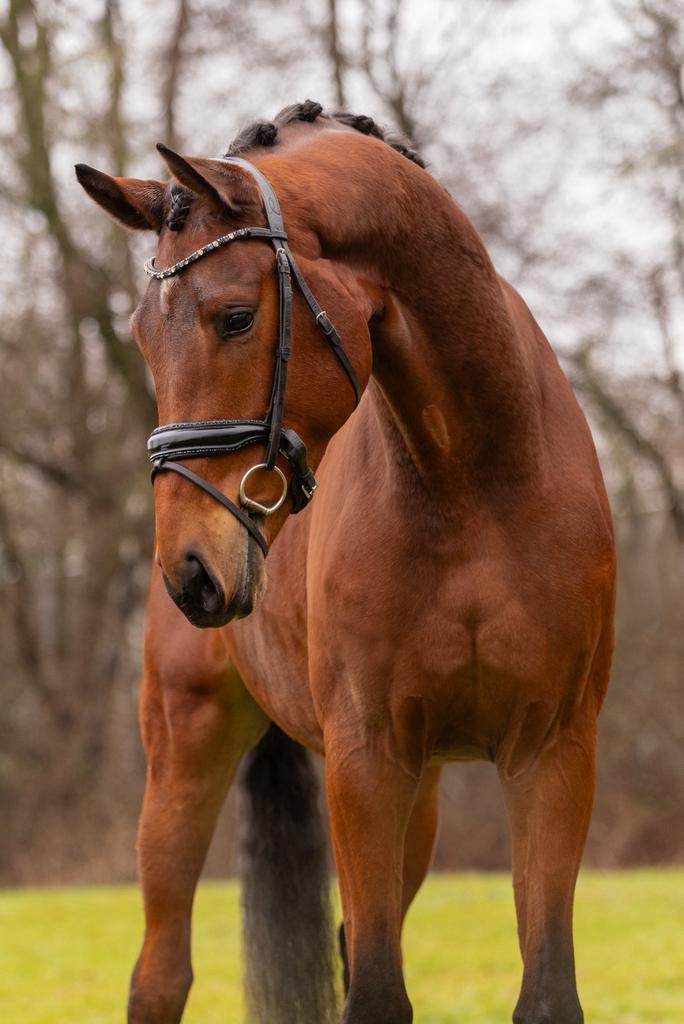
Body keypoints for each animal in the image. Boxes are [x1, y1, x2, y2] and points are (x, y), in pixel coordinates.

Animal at [76, 100, 616, 1024]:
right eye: (145, 336)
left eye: (233, 317)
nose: (191, 569)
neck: (474, 480)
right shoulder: (367, 757)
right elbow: (374, 993)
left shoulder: (552, 751)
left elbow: (544, 991)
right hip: (187, 747)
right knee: (160, 974)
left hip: (422, 794)